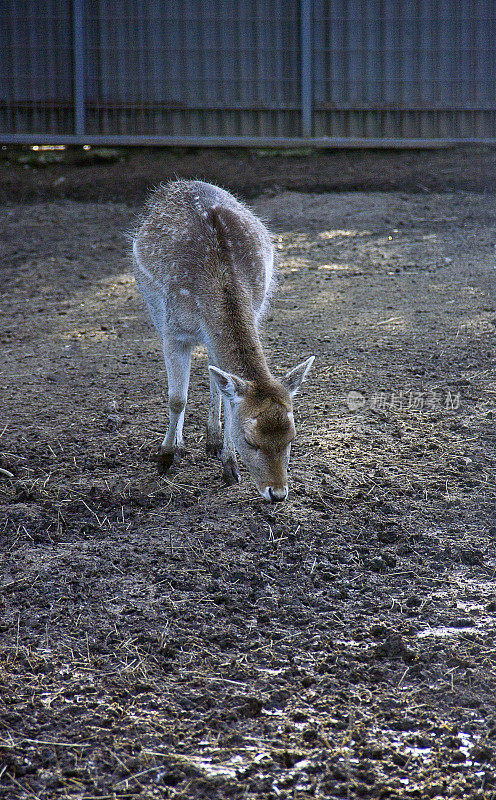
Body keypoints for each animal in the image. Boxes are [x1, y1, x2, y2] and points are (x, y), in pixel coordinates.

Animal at [132, 183, 314, 506]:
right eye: (250, 441)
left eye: (291, 438)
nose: (277, 493)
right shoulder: (173, 331)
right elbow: (177, 398)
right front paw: (165, 457)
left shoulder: (252, 312)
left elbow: (225, 391)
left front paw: (229, 467)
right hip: (151, 301)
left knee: (214, 375)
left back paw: (213, 440)